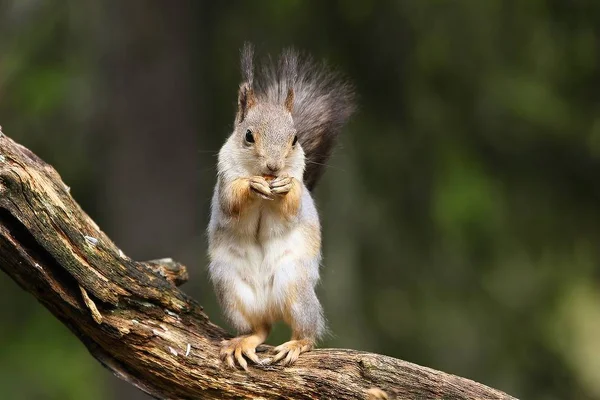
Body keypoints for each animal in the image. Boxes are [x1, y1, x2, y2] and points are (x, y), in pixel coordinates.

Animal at [207, 43, 354, 368]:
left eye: (295, 138)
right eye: (248, 136)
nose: (274, 168)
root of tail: (269, 306)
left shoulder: (297, 188)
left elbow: (294, 206)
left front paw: (285, 187)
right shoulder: (224, 180)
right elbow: (231, 202)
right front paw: (252, 185)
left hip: (295, 286)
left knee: (307, 331)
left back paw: (297, 344)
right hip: (231, 290)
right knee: (261, 328)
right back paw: (244, 341)